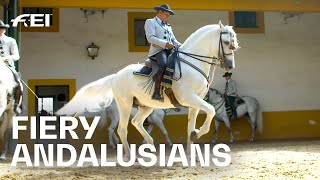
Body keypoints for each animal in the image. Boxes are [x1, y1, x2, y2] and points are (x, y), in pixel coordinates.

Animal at [57, 21, 238, 158]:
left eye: (235, 45)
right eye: (227, 43)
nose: (230, 66)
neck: (191, 64)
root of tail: (116, 75)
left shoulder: (194, 102)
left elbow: (191, 126)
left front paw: (190, 152)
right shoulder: (189, 98)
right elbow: (211, 110)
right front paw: (195, 136)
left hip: (145, 106)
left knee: (136, 122)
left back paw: (149, 143)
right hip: (125, 105)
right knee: (122, 129)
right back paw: (129, 156)